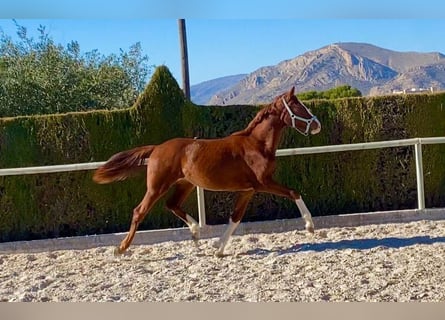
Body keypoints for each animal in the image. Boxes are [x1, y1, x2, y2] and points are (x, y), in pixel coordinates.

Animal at [93, 86, 320, 256]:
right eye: (298, 106)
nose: (317, 125)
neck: (256, 145)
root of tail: (157, 148)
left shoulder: (248, 190)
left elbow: (235, 217)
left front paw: (218, 248)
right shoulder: (263, 183)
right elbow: (293, 192)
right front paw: (310, 226)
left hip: (185, 184)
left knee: (172, 204)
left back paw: (196, 233)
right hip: (157, 186)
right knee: (139, 211)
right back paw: (121, 249)